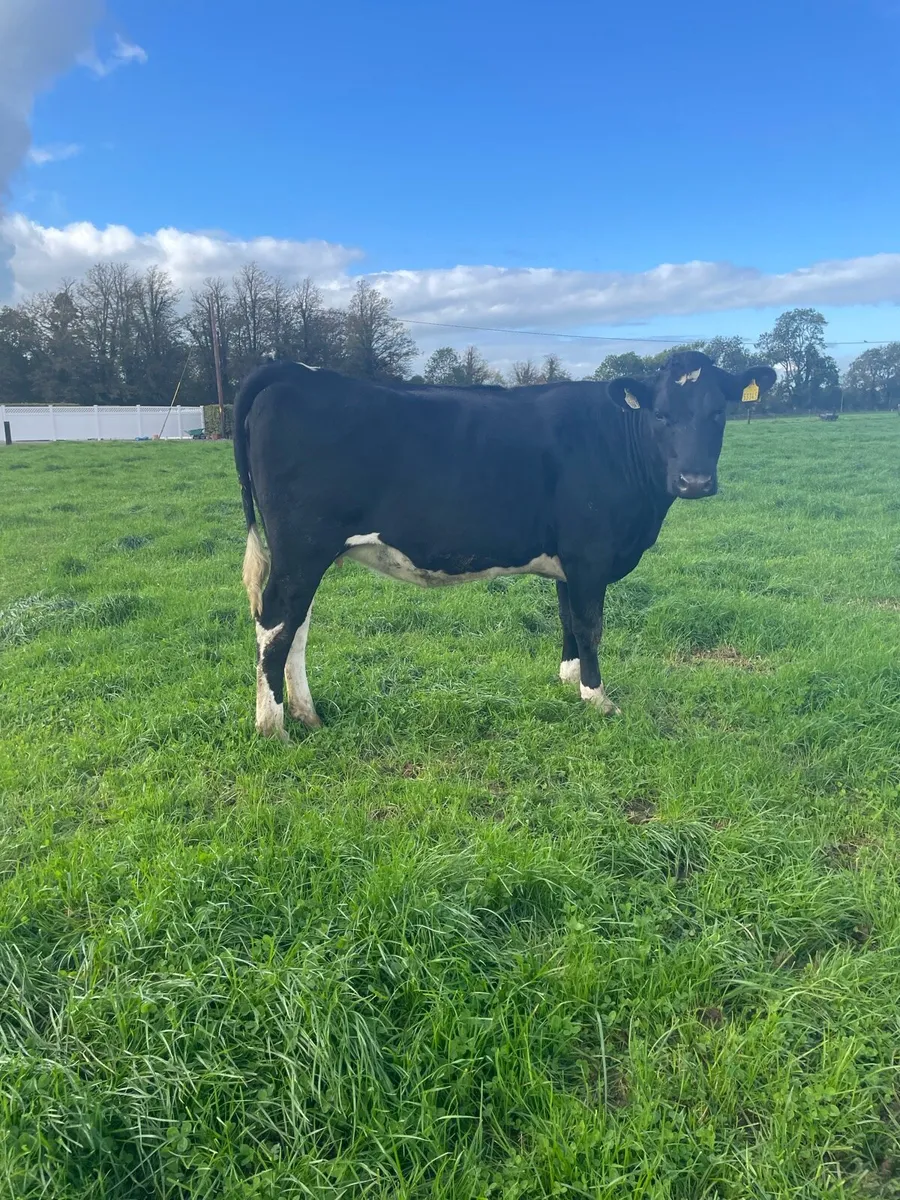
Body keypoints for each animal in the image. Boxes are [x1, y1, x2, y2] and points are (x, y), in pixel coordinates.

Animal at [234, 351, 776, 740]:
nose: (695, 481)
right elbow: (591, 626)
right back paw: (273, 726)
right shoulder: (591, 554)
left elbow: (567, 620)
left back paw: (307, 714)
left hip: (309, 554)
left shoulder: (569, 559)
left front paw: (568, 679)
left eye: (719, 413)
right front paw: (597, 698)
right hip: (302, 546)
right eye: (661, 414)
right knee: (276, 621)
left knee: (296, 626)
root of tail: (294, 371)